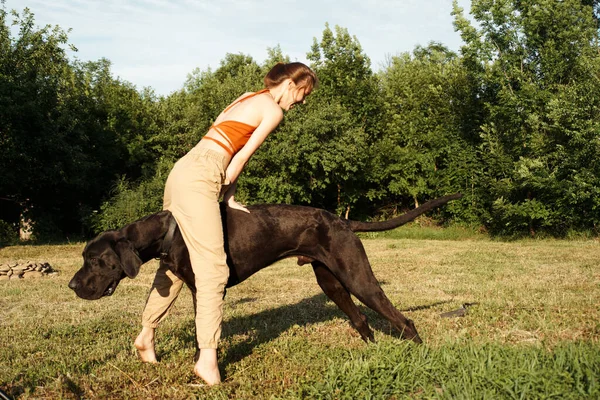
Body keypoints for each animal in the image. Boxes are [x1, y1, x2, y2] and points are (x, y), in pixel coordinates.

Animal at [69, 194, 460, 344]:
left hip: (358, 278)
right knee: (362, 319)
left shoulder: (207, 291)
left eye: (93, 260)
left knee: (403, 319)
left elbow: (204, 335)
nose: (72, 285)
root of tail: (342, 221)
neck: (171, 230)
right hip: (331, 282)